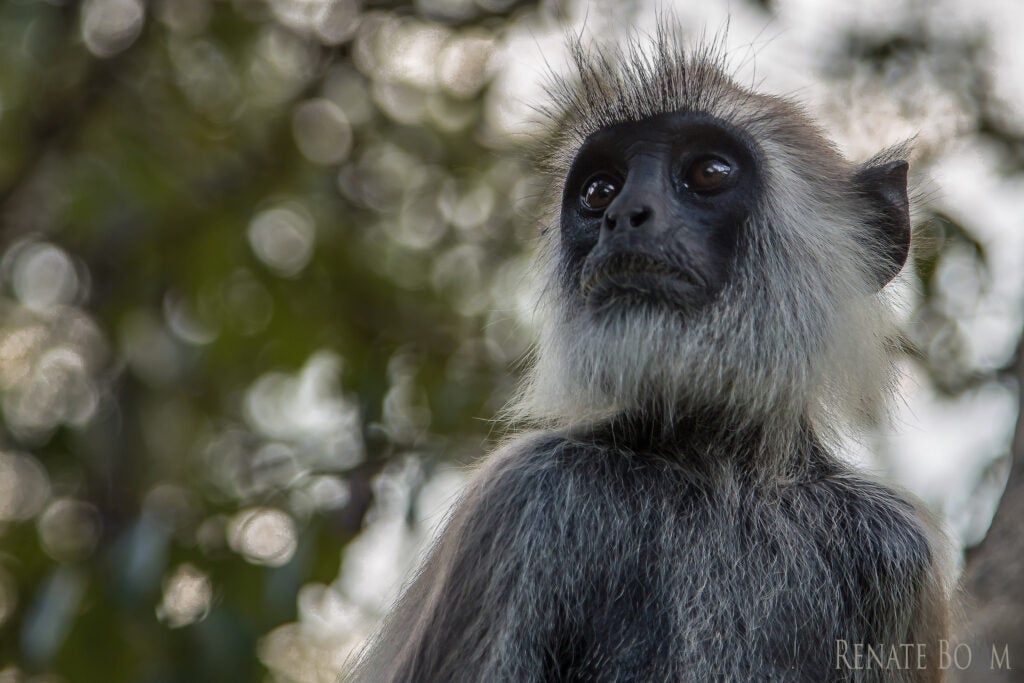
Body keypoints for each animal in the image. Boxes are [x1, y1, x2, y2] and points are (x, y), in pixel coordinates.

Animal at [346, 22, 950, 683]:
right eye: (599, 190)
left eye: (708, 172)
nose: (622, 215)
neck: (719, 467)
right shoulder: (519, 496)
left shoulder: (895, 547)